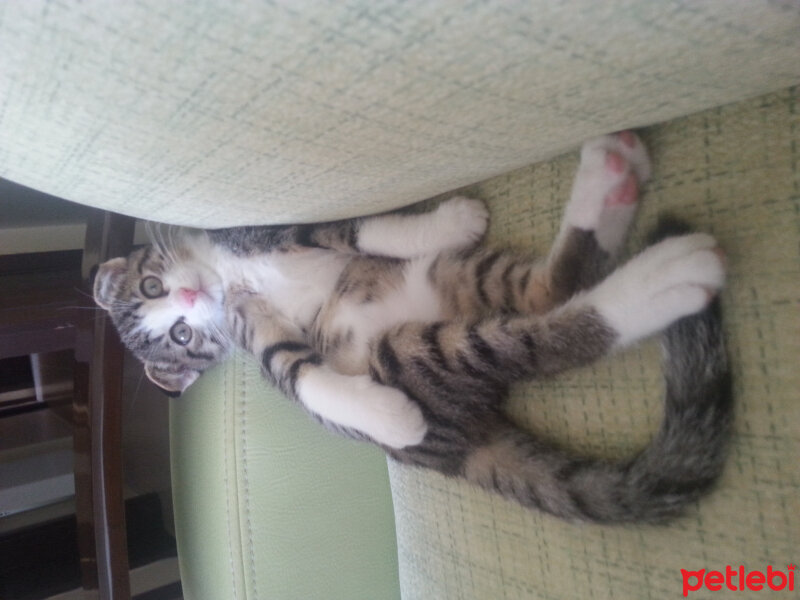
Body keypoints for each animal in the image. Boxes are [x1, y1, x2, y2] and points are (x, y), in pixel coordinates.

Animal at [94, 134, 732, 524]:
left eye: (153, 290)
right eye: (183, 337)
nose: (190, 296)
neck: (230, 278)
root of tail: (463, 445)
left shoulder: (268, 231)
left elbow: (356, 230)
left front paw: (451, 219)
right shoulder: (251, 329)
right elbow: (297, 372)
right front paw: (391, 419)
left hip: (438, 283)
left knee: (543, 302)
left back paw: (617, 195)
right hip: (416, 347)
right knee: (539, 314)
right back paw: (654, 263)